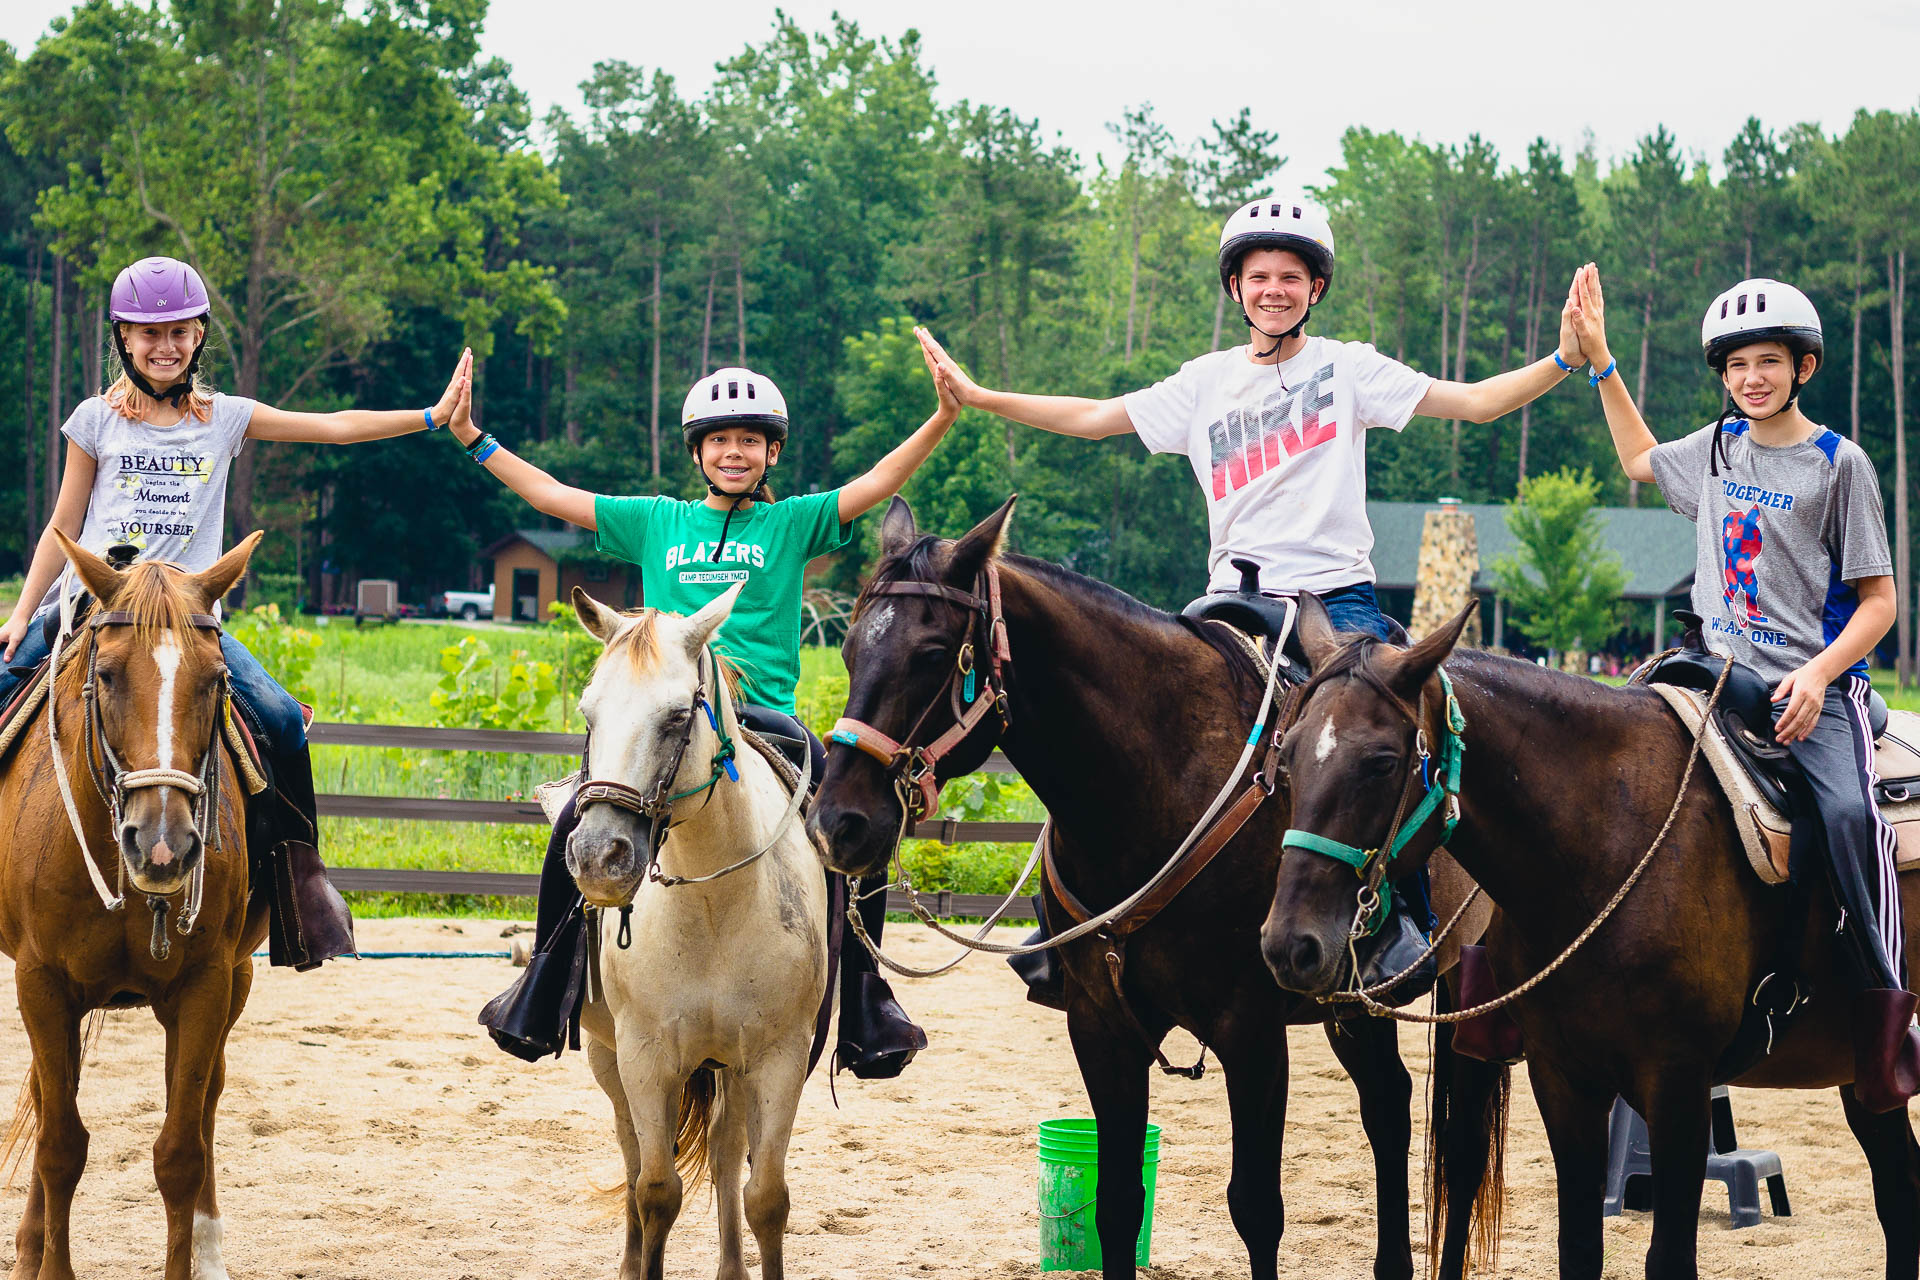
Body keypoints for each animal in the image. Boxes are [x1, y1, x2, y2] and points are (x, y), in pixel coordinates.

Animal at [0, 533, 263, 1280]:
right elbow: (60, 1144)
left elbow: (179, 1152)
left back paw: (209, 1251)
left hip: (234, 983)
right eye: (110, 675)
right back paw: (28, 1248)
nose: (163, 845)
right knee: (47, 1099)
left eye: (215, 680)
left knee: (205, 1104)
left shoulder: (206, 985)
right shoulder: (40, 983)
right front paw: (48, 1263)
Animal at [560, 587, 817, 1280]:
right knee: (631, 1156)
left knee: (727, 1153)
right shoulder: (645, 1056)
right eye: (589, 714)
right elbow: (655, 1191)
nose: (599, 858)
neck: (712, 907)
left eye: (678, 717)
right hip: (608, 1058)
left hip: (729, 1065)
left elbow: (766, 1198)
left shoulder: (778, 1058)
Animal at [810, 498, 1428, 1280]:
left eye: (930, 653)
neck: (1160, 785)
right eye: (849, 651)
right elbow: (1117, 1204)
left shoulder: (1253, 1034)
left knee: (1388, 1108)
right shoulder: (1102, 1027)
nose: (840, 822)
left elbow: (1257, 1209)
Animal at [1259, 598, 1920, 1280]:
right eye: (1286, 757)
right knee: (1898, 1191)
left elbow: (1669, 1257)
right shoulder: (1564, 1080)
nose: (1290, 945)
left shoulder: (1679, 1085)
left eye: (1383, 762)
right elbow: (1578, 1247)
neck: (1607, 834)